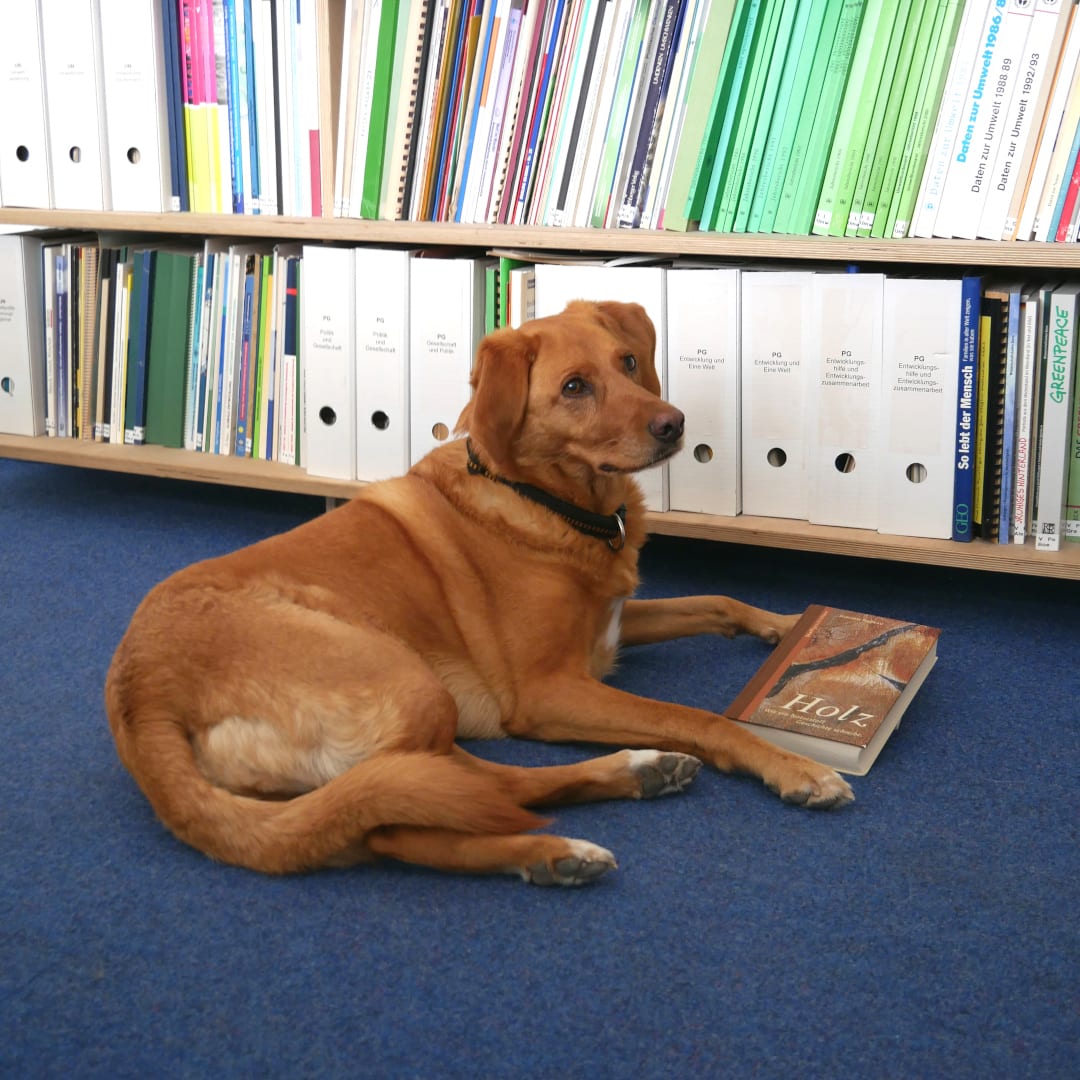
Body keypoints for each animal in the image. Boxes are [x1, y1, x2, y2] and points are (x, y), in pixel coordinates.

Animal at [107, 298, 851, 885]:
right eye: (575, 386)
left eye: (628, 362)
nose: (675, 424)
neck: (554, 502)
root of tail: (138, 695)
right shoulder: (548, 691)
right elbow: (700, 718)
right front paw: (792, 768)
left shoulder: (611, 627)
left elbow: (719, 602)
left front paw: (792, 625)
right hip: (407, 680)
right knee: (462, 788)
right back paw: (621, 783)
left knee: (393, 823)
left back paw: (555, 851)